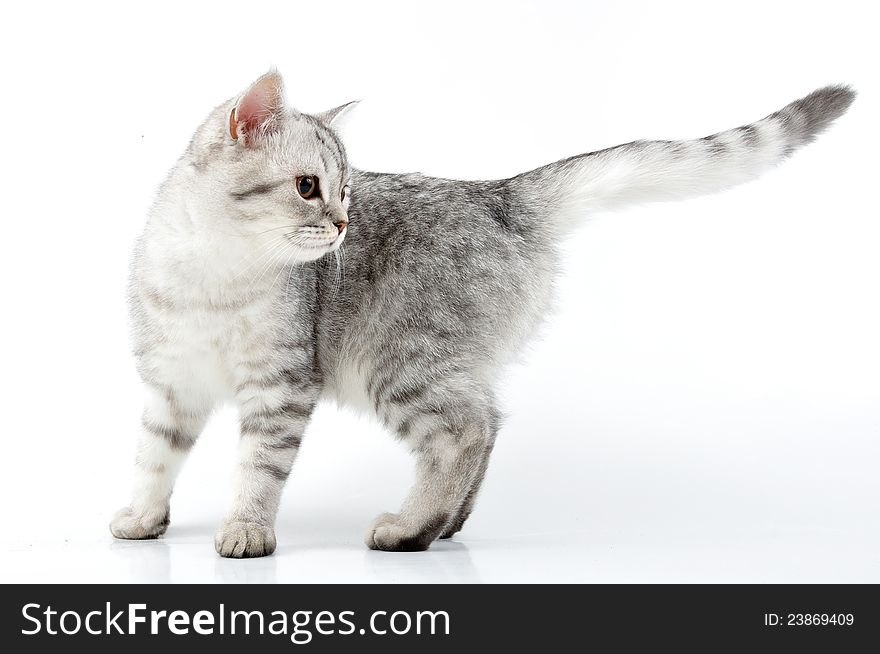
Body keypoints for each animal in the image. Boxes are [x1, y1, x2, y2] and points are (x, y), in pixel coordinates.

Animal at [110, 72, 852, 560]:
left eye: (345, 191)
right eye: (308, 187)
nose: (343, 224)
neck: (213, 276)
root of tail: (498, 195)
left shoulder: (281, 387)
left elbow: (258, 470)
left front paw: (246, 530)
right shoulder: (169, 383)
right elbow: (152, 454)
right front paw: (143, 517)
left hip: (399, 363)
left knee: (464, 432)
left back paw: (411, 529)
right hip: (441, 364)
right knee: (490, 421)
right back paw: (447, 525)